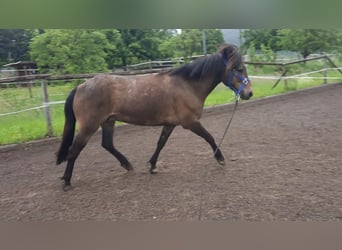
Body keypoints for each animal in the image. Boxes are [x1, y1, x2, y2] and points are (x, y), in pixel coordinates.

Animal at [56, 44, 252, 189]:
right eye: (239, 69)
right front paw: (220, 158)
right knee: (74, 150)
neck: (187, 84)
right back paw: (66, 181)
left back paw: (127, 164)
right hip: (89, 126)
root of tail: (80, 87)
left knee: (107, 144)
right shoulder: (190, 122)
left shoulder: (170, 124)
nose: (249, 93)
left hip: (108, 122)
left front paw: (152, 166)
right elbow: (209, 137)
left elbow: (160, 143)